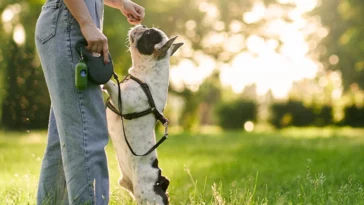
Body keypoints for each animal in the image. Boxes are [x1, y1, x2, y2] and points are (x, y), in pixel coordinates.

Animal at [102, 24, 182, 204]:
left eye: (148, 33)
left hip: (146, 194)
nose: (142, 25)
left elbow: (113, 85)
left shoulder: (124, 100)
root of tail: (161, 182)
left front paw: (105, 80)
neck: (144, 74)